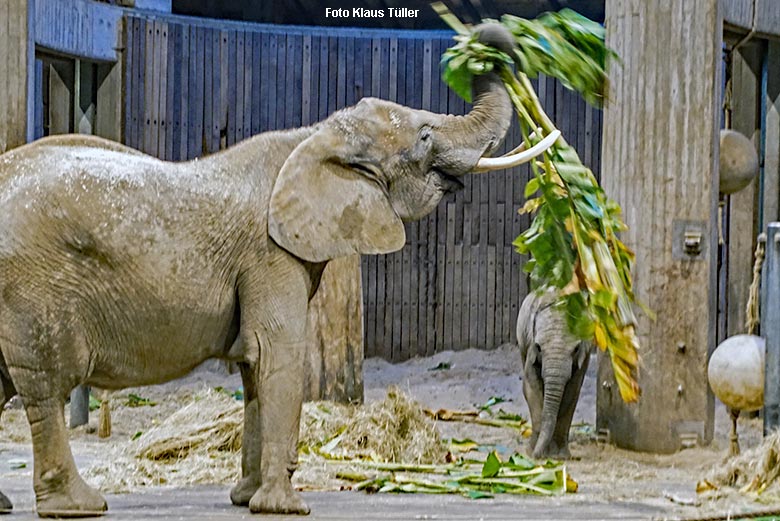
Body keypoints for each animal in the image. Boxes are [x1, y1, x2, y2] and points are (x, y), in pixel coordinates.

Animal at [0, 23, 556, 516]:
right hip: (33, 288)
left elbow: (254, 368)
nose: (480, 45)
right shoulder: (269, 253)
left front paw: (245, 499)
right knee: (46, 383)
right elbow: (277, 353)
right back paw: (78, 506)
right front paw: (285, 508)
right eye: (422, 138)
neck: (312, 137)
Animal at [516, 290, 592, 458]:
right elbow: (531, 388)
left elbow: (572, 392)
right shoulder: (530, 348)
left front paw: (561, 456)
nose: (535, 457)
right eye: (538, 347)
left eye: (576, 349)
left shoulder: (584, 357)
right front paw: (533, 453)